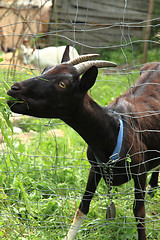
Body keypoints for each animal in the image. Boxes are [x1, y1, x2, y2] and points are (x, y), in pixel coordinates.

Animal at [6, 47, 160, 240]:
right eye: (45, 70)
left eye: (62, 84)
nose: (14, 89)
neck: (114, 130)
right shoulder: (95, 168)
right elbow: (82, 208)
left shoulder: (140, 171)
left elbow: (139, 213)